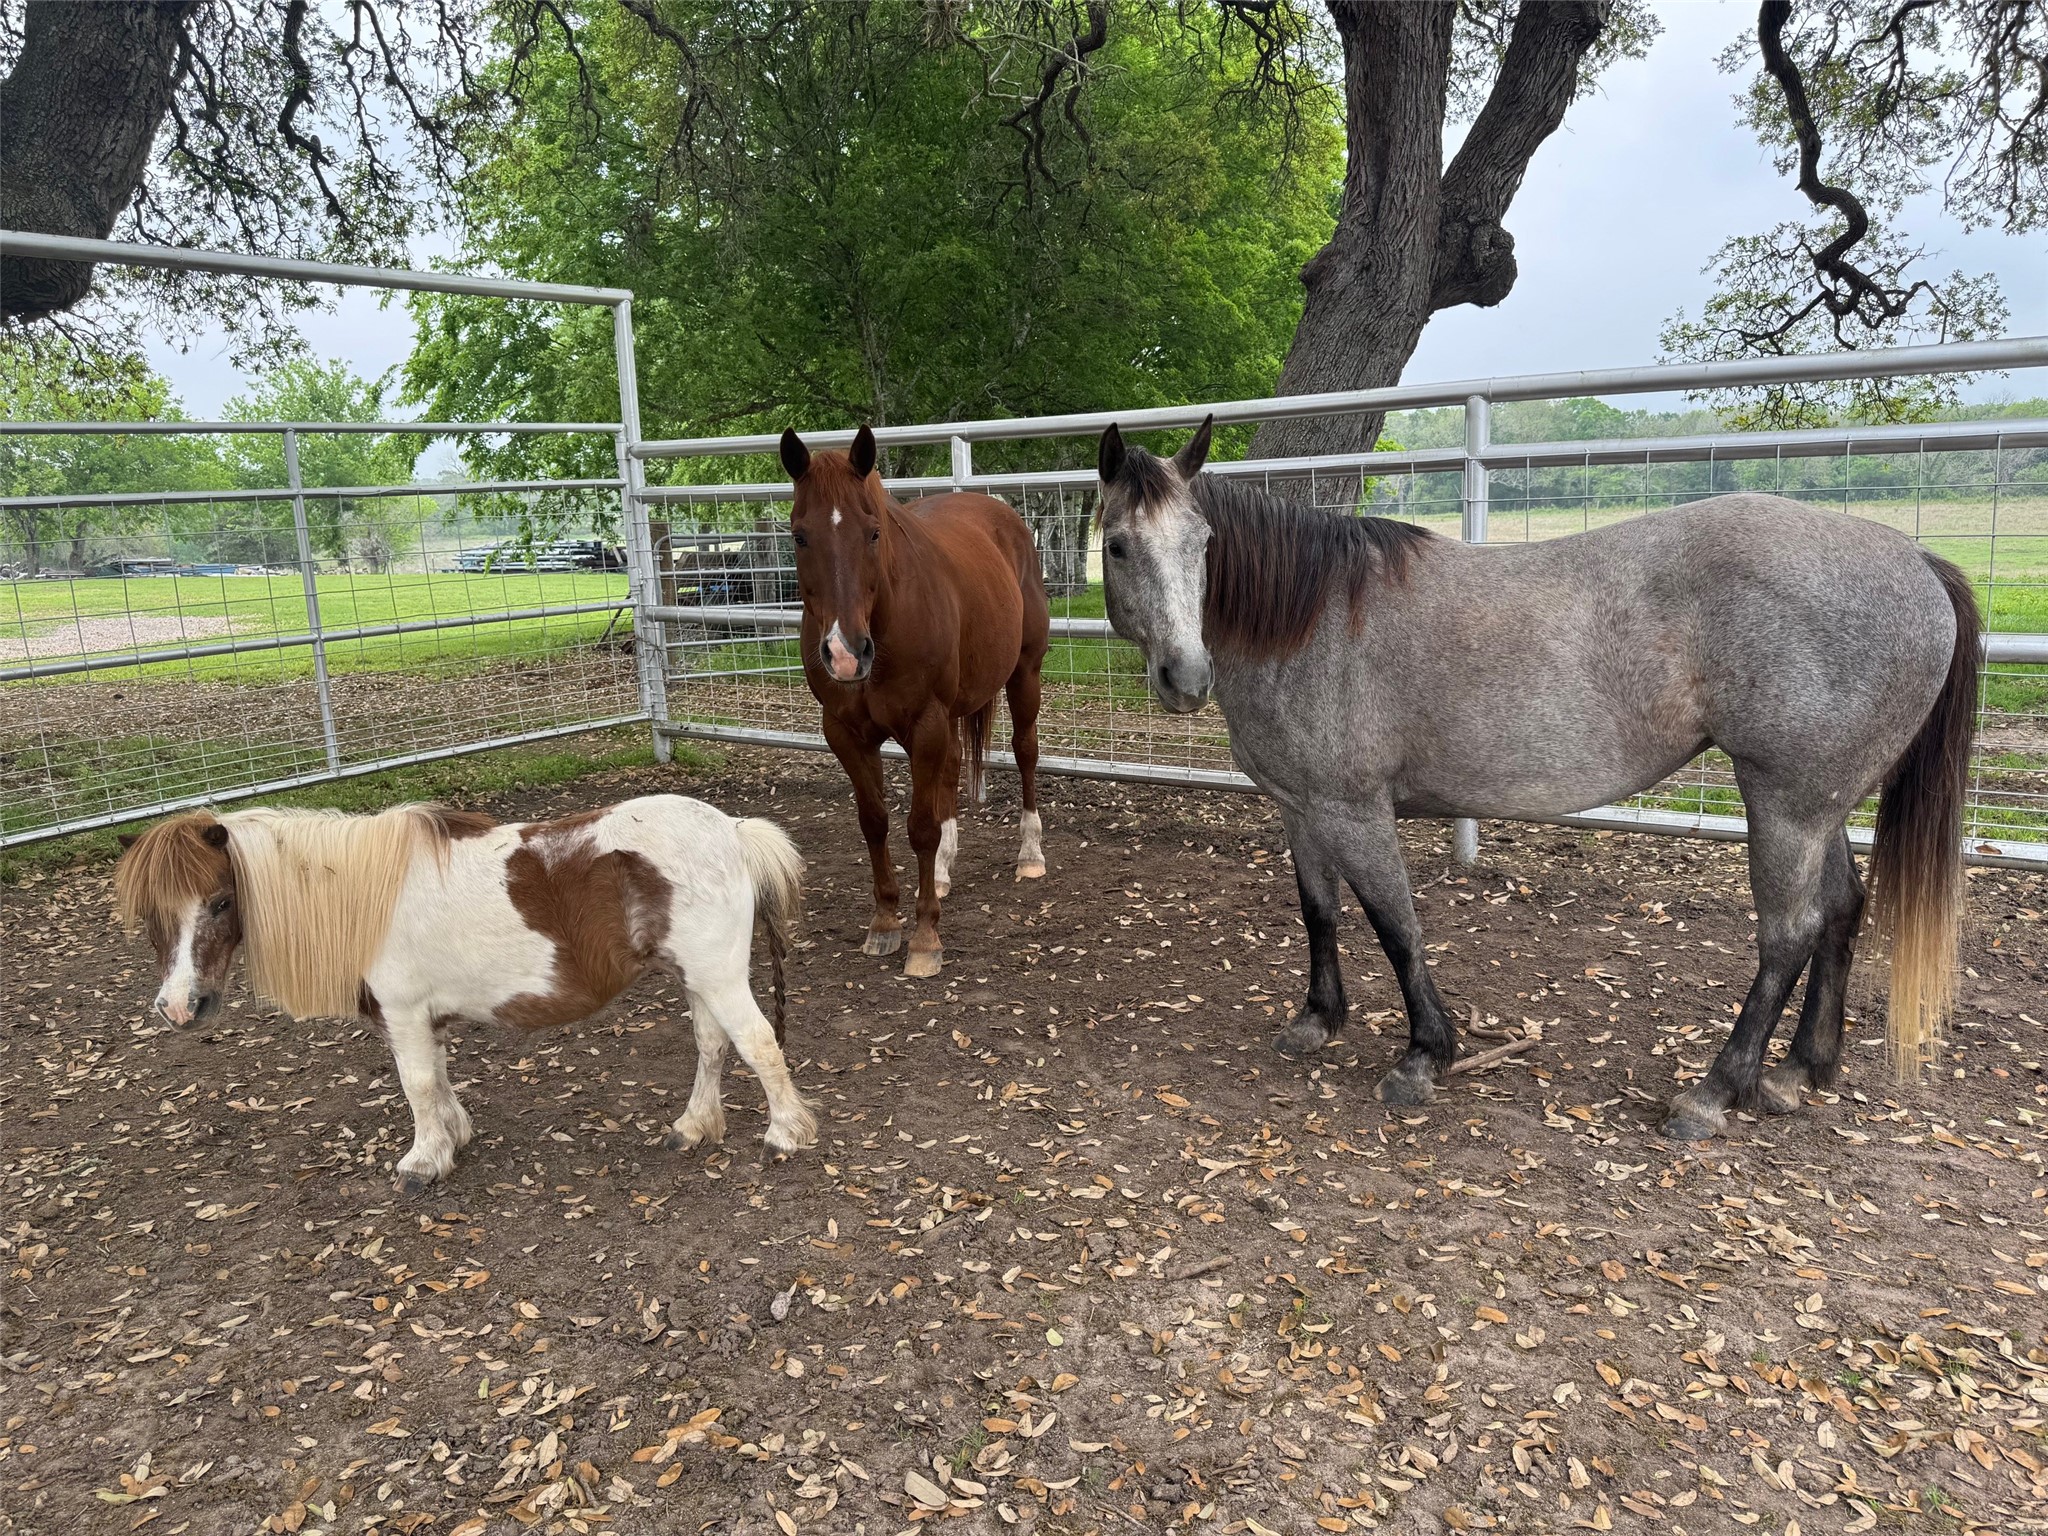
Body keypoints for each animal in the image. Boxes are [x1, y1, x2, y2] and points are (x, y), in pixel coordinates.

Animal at [112, 795, 817, 1191]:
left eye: (220, 901)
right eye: (149, 916)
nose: (179, 1007)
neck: (363, 895)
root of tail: (733, 830)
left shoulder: (403, 1014)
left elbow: (417, 1084)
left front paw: (423, 1162)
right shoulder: (423, 1018)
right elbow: (440, 1076)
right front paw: (454, 1136)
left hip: (718, 976)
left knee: (757, 1043)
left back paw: (786, 1134)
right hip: (698, 979)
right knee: (712, 1046)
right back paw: (692, 1127)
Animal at [779, 424, 1052, 977]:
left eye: (873, 532)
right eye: (799, 535)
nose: (845, 653)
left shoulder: (925, 724)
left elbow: (920, 828)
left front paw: (926, 938)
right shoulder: (845, 733)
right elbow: (875, 822)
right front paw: (885, 921)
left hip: (1024, 675)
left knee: (1025, 753)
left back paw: (1029, 854)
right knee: (951, 769)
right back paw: (944, 871)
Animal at [1095, 416, 1980, 1140]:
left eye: (1203, 545)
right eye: (1119, 546)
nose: (1185, 677)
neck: (1313, 621)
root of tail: (1913, 558)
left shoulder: (1353, 811)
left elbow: (1395, 925)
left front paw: (1425, 1054)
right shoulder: (1300, 809)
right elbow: (1321, 913)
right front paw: (1318, 1020)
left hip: (1785, 802)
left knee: (1788, 933)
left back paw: (1713, 1094)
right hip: (1819, 804)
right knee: (1841, 910)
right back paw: (1800, 1071)